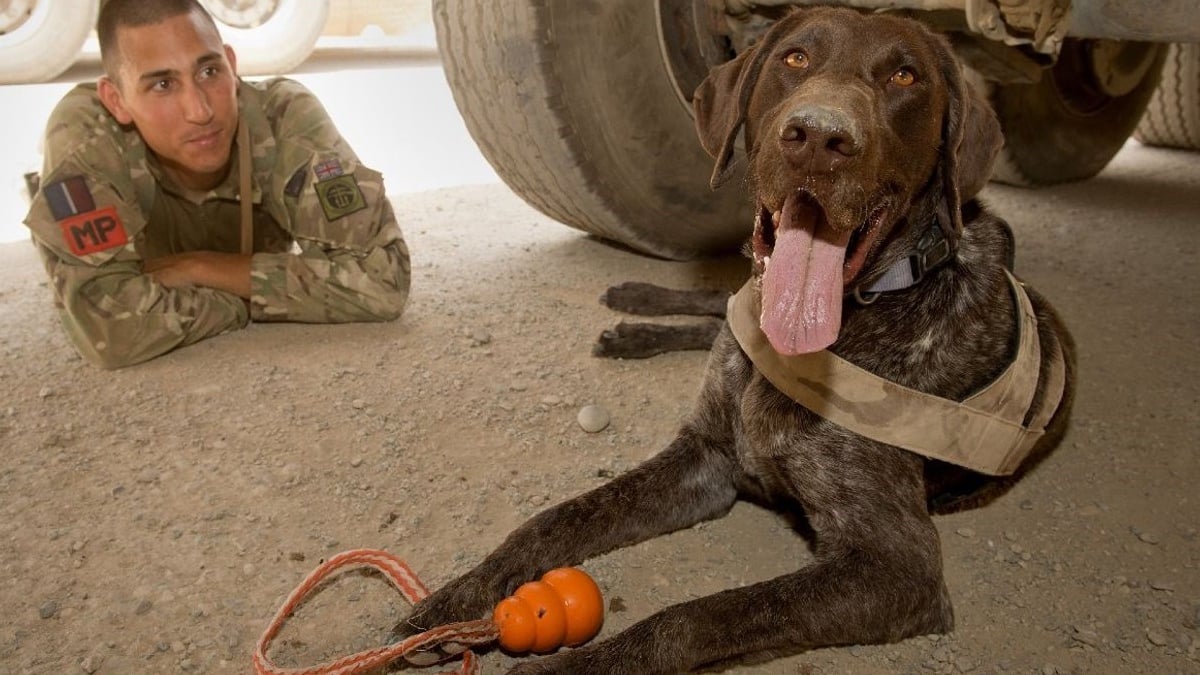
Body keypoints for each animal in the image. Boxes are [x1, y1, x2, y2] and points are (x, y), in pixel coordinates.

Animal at [396, 7, 1080, 667]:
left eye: (905, 77)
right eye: (794, 58)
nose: (819, 137)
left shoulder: (894, 568)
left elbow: (695, 618)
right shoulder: (705, 458)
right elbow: (553, 520)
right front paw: (452, 601)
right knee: (714, 309)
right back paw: (635, 311)